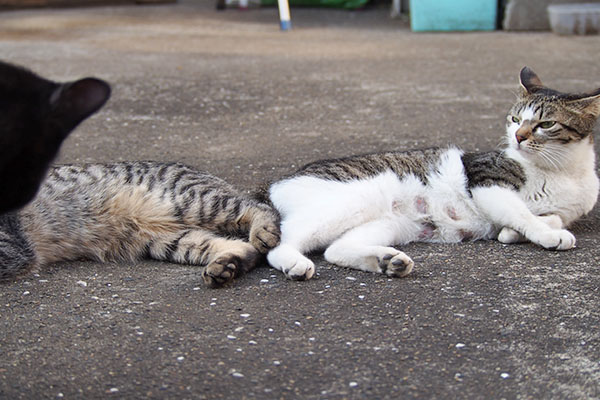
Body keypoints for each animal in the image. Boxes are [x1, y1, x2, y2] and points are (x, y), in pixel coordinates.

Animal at [268, 68, 600, 282]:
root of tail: (274, 184)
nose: (518, 137)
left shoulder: (565, 209)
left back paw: (387, 262)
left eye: (546, 124)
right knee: (280, 244)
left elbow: (547, 216)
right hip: (355, 199)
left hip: (389, 223)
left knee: (335, 250)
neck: (561, 169)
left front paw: (513, 233)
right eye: (515, 119)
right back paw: (294, 262)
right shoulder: (485, 180)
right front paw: (547, 235)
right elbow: (522, 212)